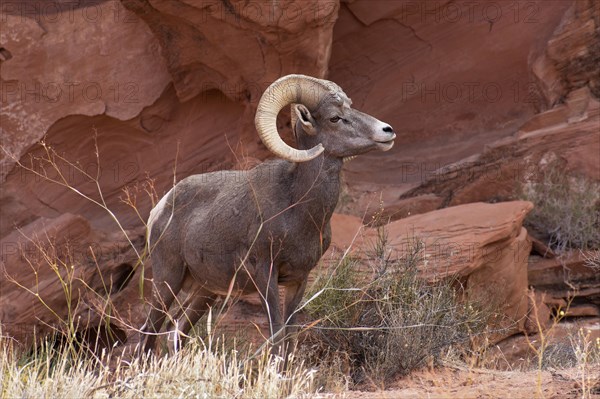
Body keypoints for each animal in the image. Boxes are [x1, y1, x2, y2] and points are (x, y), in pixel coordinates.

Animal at [142, 74, 396, 354]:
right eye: (334, 118)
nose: (387, 130)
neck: (298, 208)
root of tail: (159, 209)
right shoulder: (266, 276)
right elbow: (276, 335)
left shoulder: (299, 280)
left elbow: (290, 335)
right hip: (168, 280)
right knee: (148, 333)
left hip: (206, 292)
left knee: (176, 331)